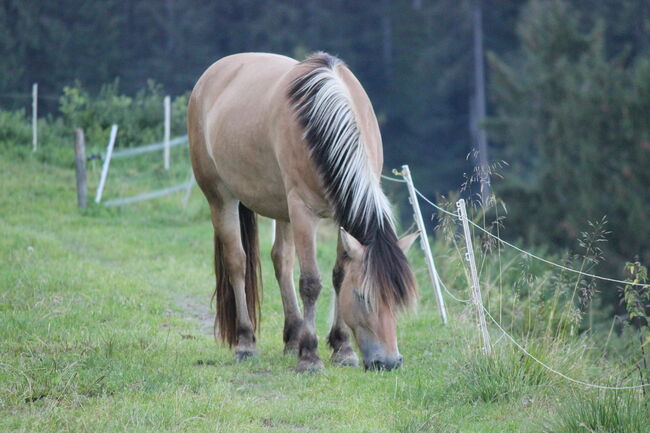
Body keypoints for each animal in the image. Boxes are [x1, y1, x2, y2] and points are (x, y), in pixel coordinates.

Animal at [187, 51, 420, 372]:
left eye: (397, 299)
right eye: (363, 297)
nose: (389, 362)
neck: (320, 120)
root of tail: (211, 75)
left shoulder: (339, 216)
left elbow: (338, 275)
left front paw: (342, 348)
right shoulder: (303, 211)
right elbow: (310, 282)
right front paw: (310, 357)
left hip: (281, 208)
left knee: (281, 261)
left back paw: (292, 336)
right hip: (221, 198)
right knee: (237, 262)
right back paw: (246, 342)